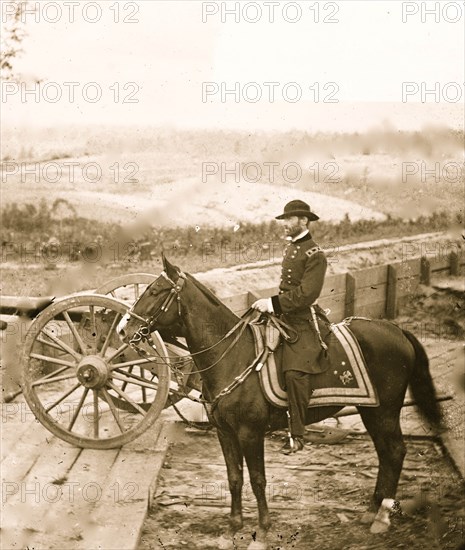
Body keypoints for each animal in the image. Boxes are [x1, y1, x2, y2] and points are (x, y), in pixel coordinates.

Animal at [117, 258, 442, 550]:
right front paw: (233, 527)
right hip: (370, 411)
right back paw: (371, 511)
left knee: (395, 452)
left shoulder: (250, 432)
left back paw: (383, 517)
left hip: (384, 411)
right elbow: (234, 477)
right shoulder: (224, 432)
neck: (232, 356)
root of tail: (397, 330)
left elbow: (258, 479)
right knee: (386, 454)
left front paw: (261, 532)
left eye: (155, 291)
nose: (123, 328)